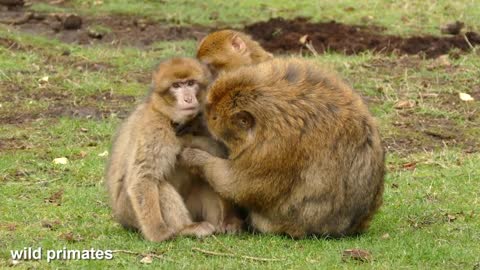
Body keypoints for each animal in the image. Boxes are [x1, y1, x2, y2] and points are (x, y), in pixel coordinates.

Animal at [105, 57, 240, 243]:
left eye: (190, 83)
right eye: (176, 86)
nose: (188, 99)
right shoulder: (155, 128)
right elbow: (143, 179)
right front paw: (158, 233)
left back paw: (225, 222)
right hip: (129, 212)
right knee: (158, 184)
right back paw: (186, 229)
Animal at [181, 58, 386, 237]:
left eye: (214, 117)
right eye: (208, 108)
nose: (202, 116)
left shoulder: (272, 149)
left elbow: (238, 184)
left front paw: (196, 158)